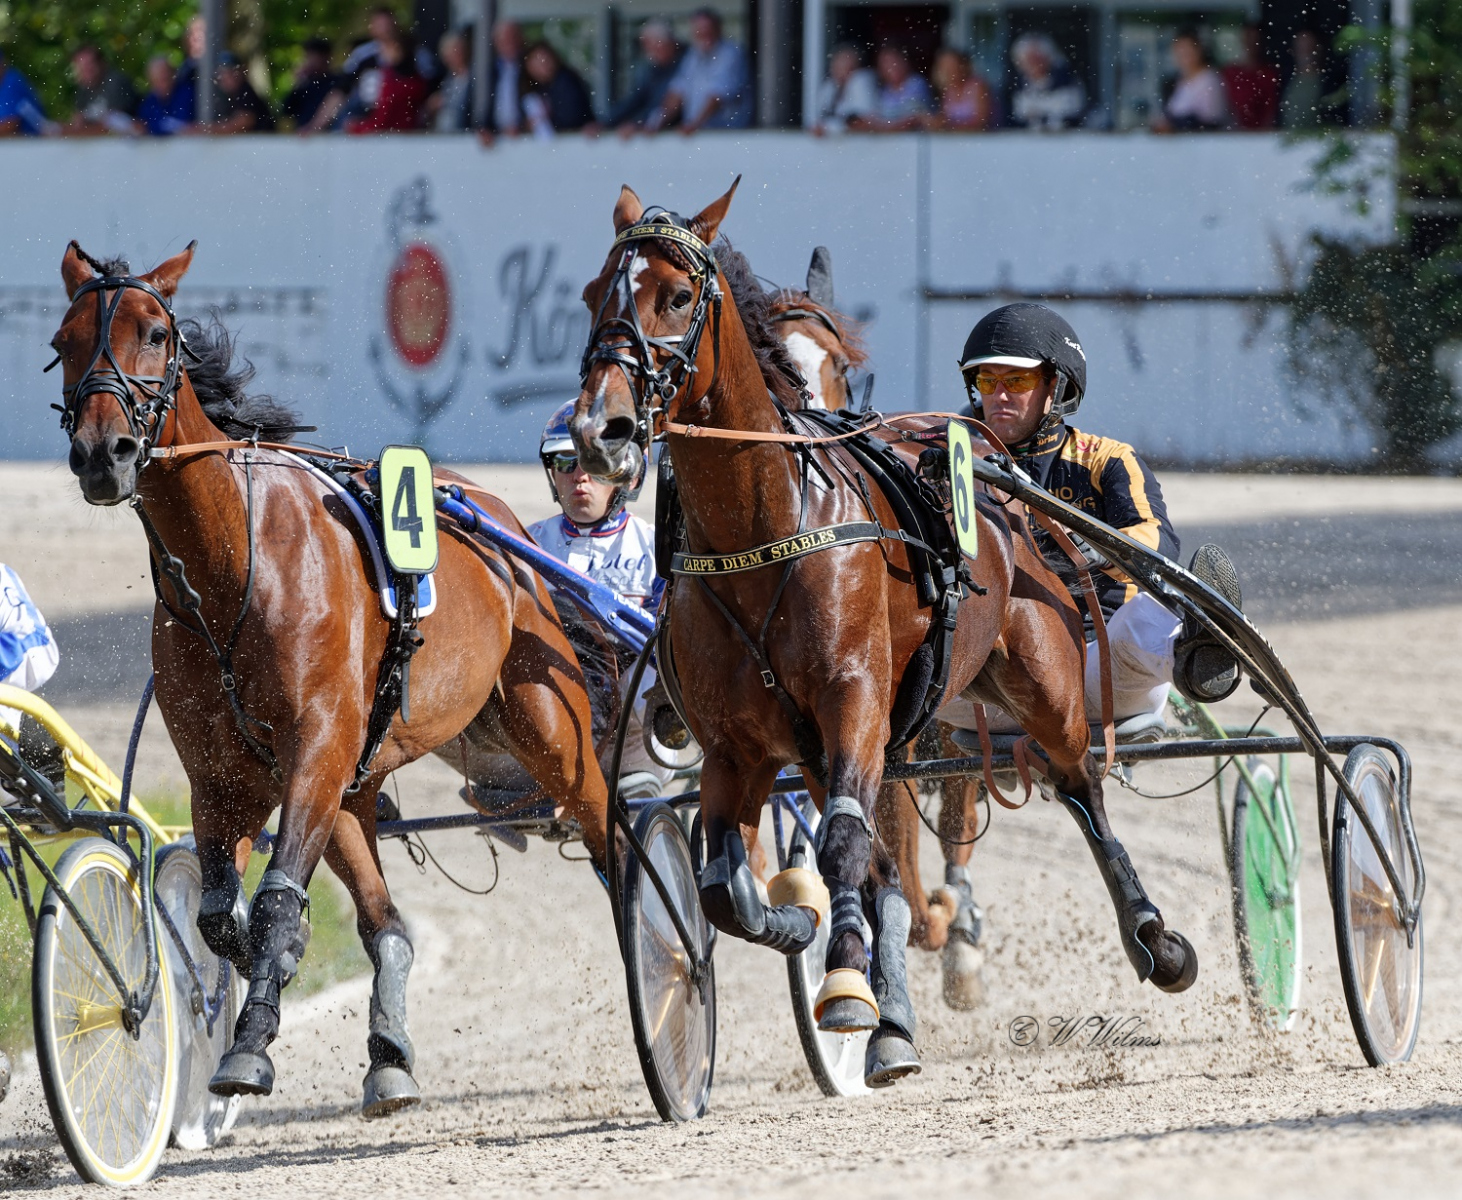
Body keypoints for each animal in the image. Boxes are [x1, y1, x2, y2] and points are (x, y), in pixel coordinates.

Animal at [51, 241, 610, 1114]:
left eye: (155, 332)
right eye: (64, 340)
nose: (101, 453)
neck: (232, 568)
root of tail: (494, 513)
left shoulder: (314, 745)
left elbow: (277, 898)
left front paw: (249, 1046)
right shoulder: (221, 773)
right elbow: (221, 916)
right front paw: (246, 992)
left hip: (550, 723)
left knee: (610, 825)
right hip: (357, 776)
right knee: (387, 923)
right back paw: (390, 1055)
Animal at [570, 181, 1197, 1088]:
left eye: (679, 297)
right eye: (594, 296)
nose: (602, 430)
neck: (766, 528)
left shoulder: (856, 704)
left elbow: (840, 843)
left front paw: (843, 985)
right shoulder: (738, 746)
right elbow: (727, 885)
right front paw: (803, 930)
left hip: (1039, 680)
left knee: (1081, 782)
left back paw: (1154, 939)